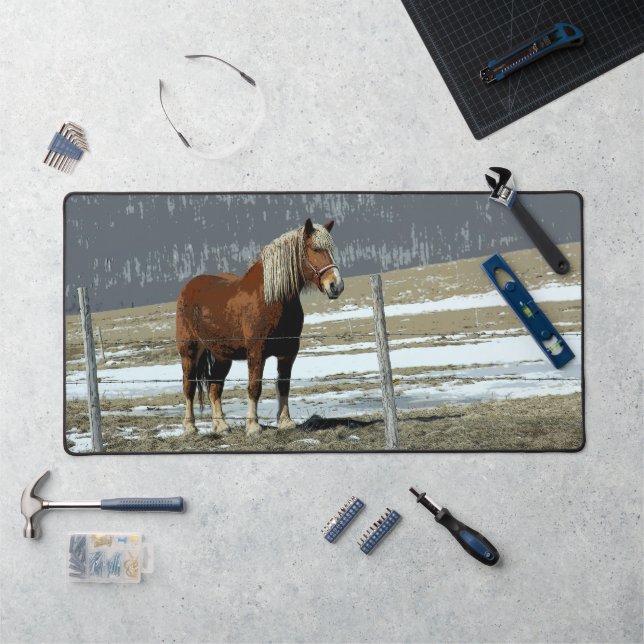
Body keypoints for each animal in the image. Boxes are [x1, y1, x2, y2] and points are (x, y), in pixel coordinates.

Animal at [175, 218, 344, 437]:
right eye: (315, 249)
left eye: (331, 250)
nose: (336, 286)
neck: (271, 299)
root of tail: (188, 287)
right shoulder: (257, 352)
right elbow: (255, 387)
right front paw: (253, 426)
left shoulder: (288, 352)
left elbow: (284, 385)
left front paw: (285, 422)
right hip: (189, 351)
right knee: (189, 387)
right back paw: (190, 427)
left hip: (222, 355)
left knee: (214, 387)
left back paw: (221, 426)